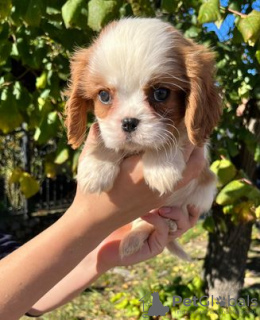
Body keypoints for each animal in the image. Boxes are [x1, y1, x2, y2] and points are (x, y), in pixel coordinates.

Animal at [65, 17, 221, 258]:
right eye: (104, 96)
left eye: (161, 93)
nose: (129, 122)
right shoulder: (105, 128)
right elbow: (103, 134)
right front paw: (95, 169)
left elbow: (177, 134)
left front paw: (161, 168)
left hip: (201, 192)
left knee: (153, 221)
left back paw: (140, 236)